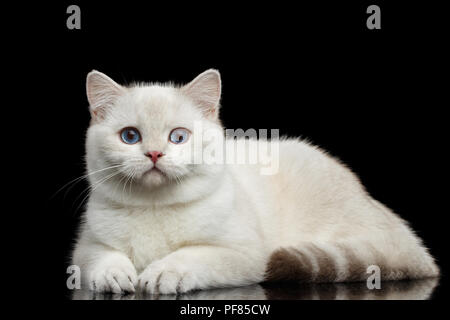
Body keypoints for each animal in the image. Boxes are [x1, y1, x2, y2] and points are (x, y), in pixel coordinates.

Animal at [73, 69, 440, 294]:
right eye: (130, 136)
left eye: (178, 136)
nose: (153, 154)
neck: (154, 207)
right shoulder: (85, 248)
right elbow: (102, 259)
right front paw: (115, 276)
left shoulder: (244, 254)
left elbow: (192, 255)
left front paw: (163, 272)